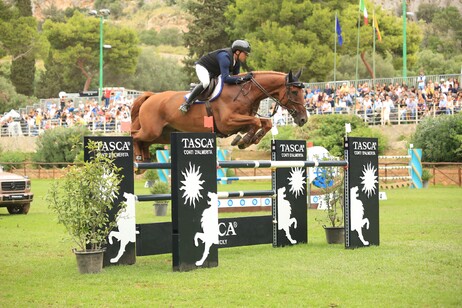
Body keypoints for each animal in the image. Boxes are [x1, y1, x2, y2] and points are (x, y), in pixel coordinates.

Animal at [131, 69, 306, 161]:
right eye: (294, 92)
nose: (303, 119)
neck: (245, 92)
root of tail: (151, 96)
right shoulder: (227, 122)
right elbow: (256, 122)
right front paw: (244, 141)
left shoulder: (242, 121)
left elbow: (264, 123)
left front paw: (247, 139)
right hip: (151, 130)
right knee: (134, 136)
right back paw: (138, 160)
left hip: (163, 135)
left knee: (144, 142)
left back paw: (144, 161)